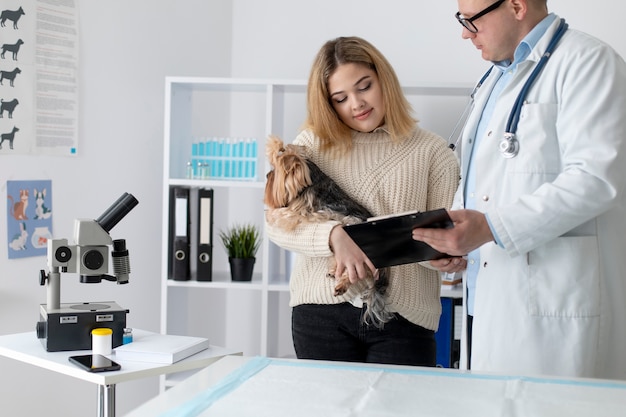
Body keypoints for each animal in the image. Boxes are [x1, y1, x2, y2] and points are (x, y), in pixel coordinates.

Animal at [264, 135, 390, 326]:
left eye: (275, 170)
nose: (266, 175)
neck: (308, 181)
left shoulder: (299, 211)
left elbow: (282, 213)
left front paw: (269, 214)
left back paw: (341, 285)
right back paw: (333, 271)